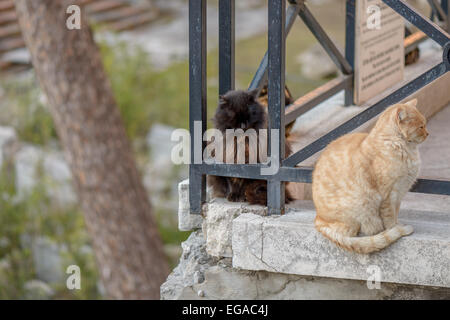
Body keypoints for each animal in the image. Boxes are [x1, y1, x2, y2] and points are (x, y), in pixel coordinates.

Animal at [312, 99, 428, 254]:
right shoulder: (389, 195)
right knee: (355, 233)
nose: (428, 133)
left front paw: (397, 224)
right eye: (421, 126)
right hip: (359, 206)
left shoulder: (399, 193)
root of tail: (318, 218)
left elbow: (396, 213)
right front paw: (395, 229)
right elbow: (390, 218)